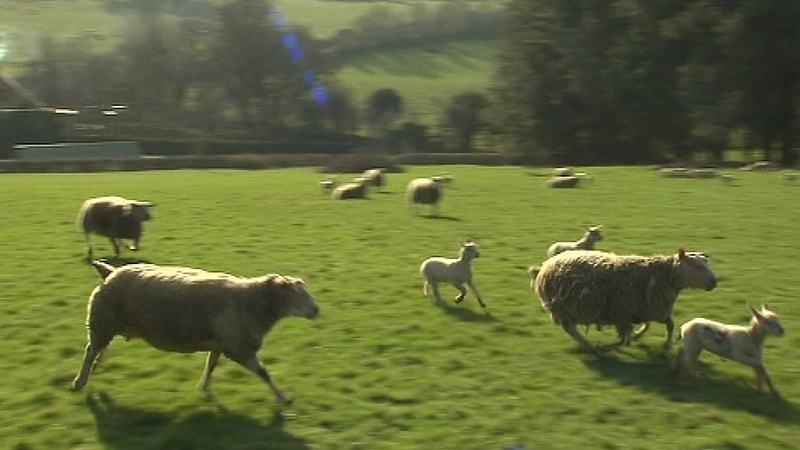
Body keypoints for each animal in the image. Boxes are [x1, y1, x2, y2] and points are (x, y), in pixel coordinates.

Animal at [71, 260, 320, 404]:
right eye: (296, 295)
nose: (317, 310)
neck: (252, 301)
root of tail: (110, 272)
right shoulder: (238, 346)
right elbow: (264, 373)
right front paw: (284, 398)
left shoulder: (221, 343)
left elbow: (211, 365)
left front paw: (204, 387)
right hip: (102, 322)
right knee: (91, 350)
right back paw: (80, 381)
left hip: (106, 324)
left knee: (99, 349)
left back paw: (95, 368)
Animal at [529, 248, 718, 354]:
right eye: (696, 266)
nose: (714, 282)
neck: (665, 276)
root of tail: (544, 266)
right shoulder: (622, 314)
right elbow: (623, 340)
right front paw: (609, 347)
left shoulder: (652, 309)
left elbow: (667, 326)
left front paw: (664, 344)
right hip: (564, 309)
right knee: (571, 329)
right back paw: (591, 347)